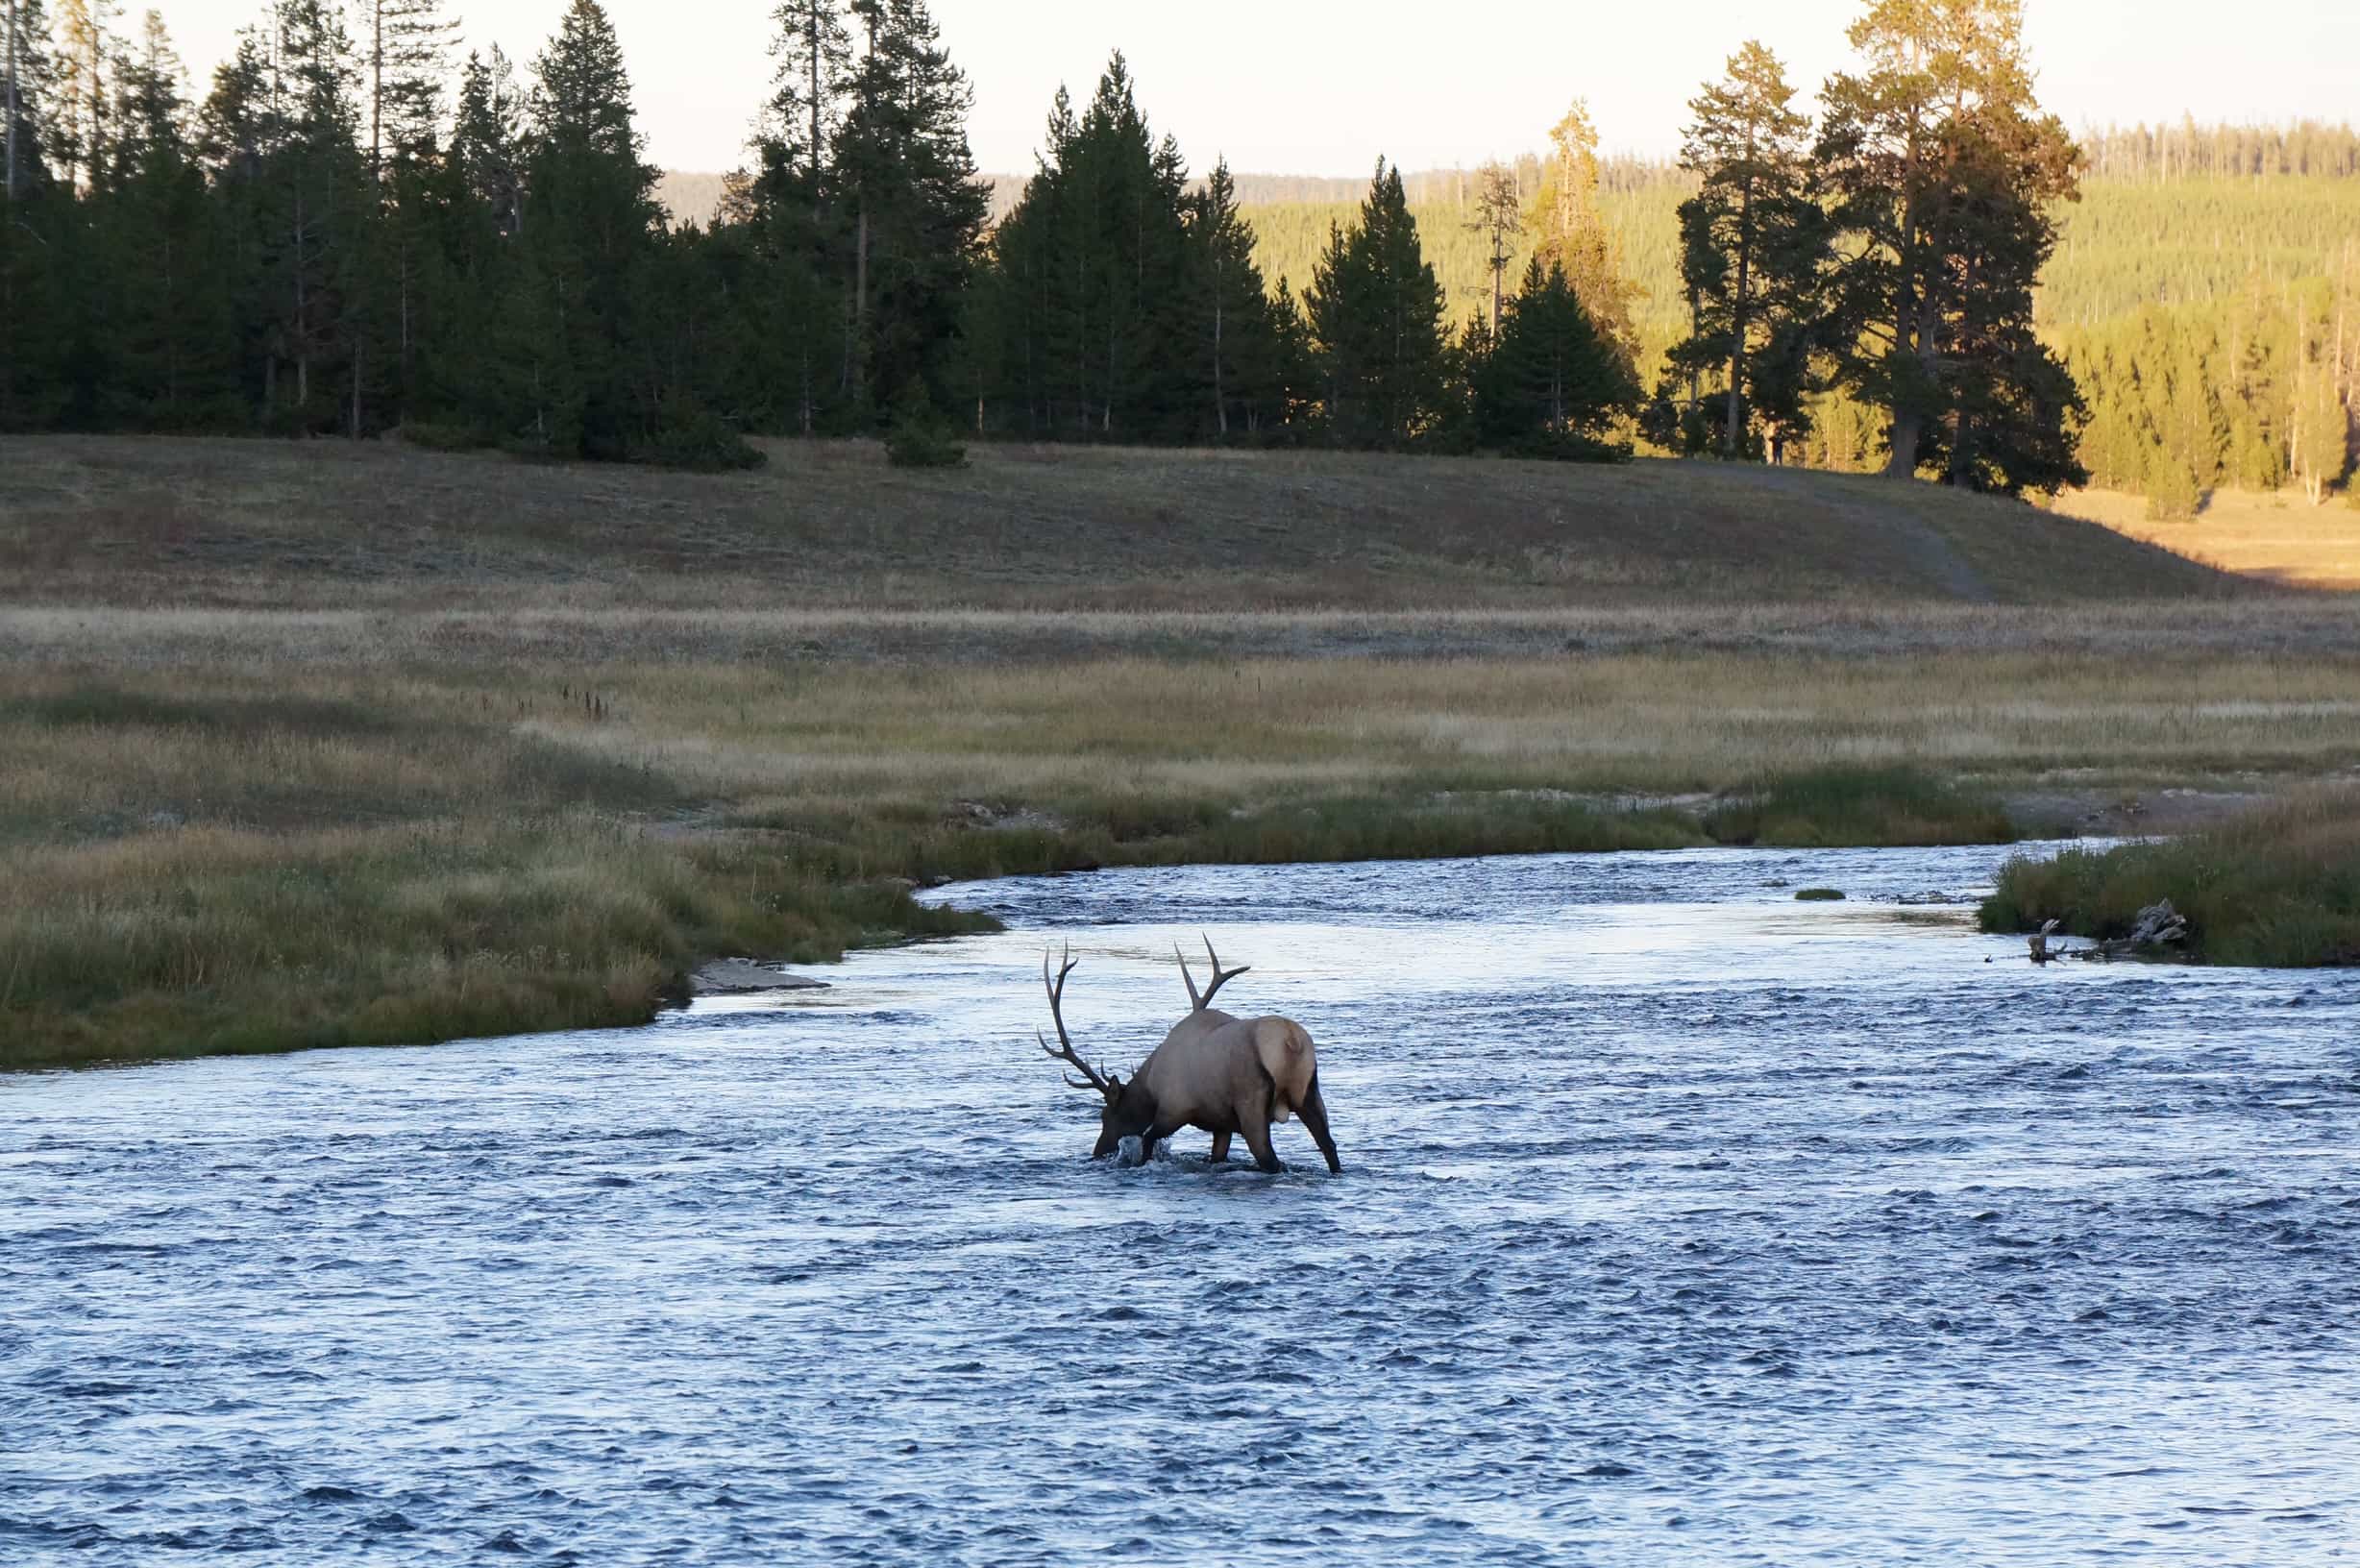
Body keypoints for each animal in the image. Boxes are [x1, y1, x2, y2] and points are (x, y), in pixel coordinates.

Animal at [1037, 940, 1342, 1175]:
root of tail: (1291, 1041)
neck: (1151, 1086)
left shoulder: (1175, 1109)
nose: (1098, 1151)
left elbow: (1147, 1139)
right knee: (1329, 1146)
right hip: (1310, 1091)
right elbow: (1215, 1157)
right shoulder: (1222, 1124)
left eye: (1105, 1115)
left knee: (1269, 1158)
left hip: (1251, 1100)